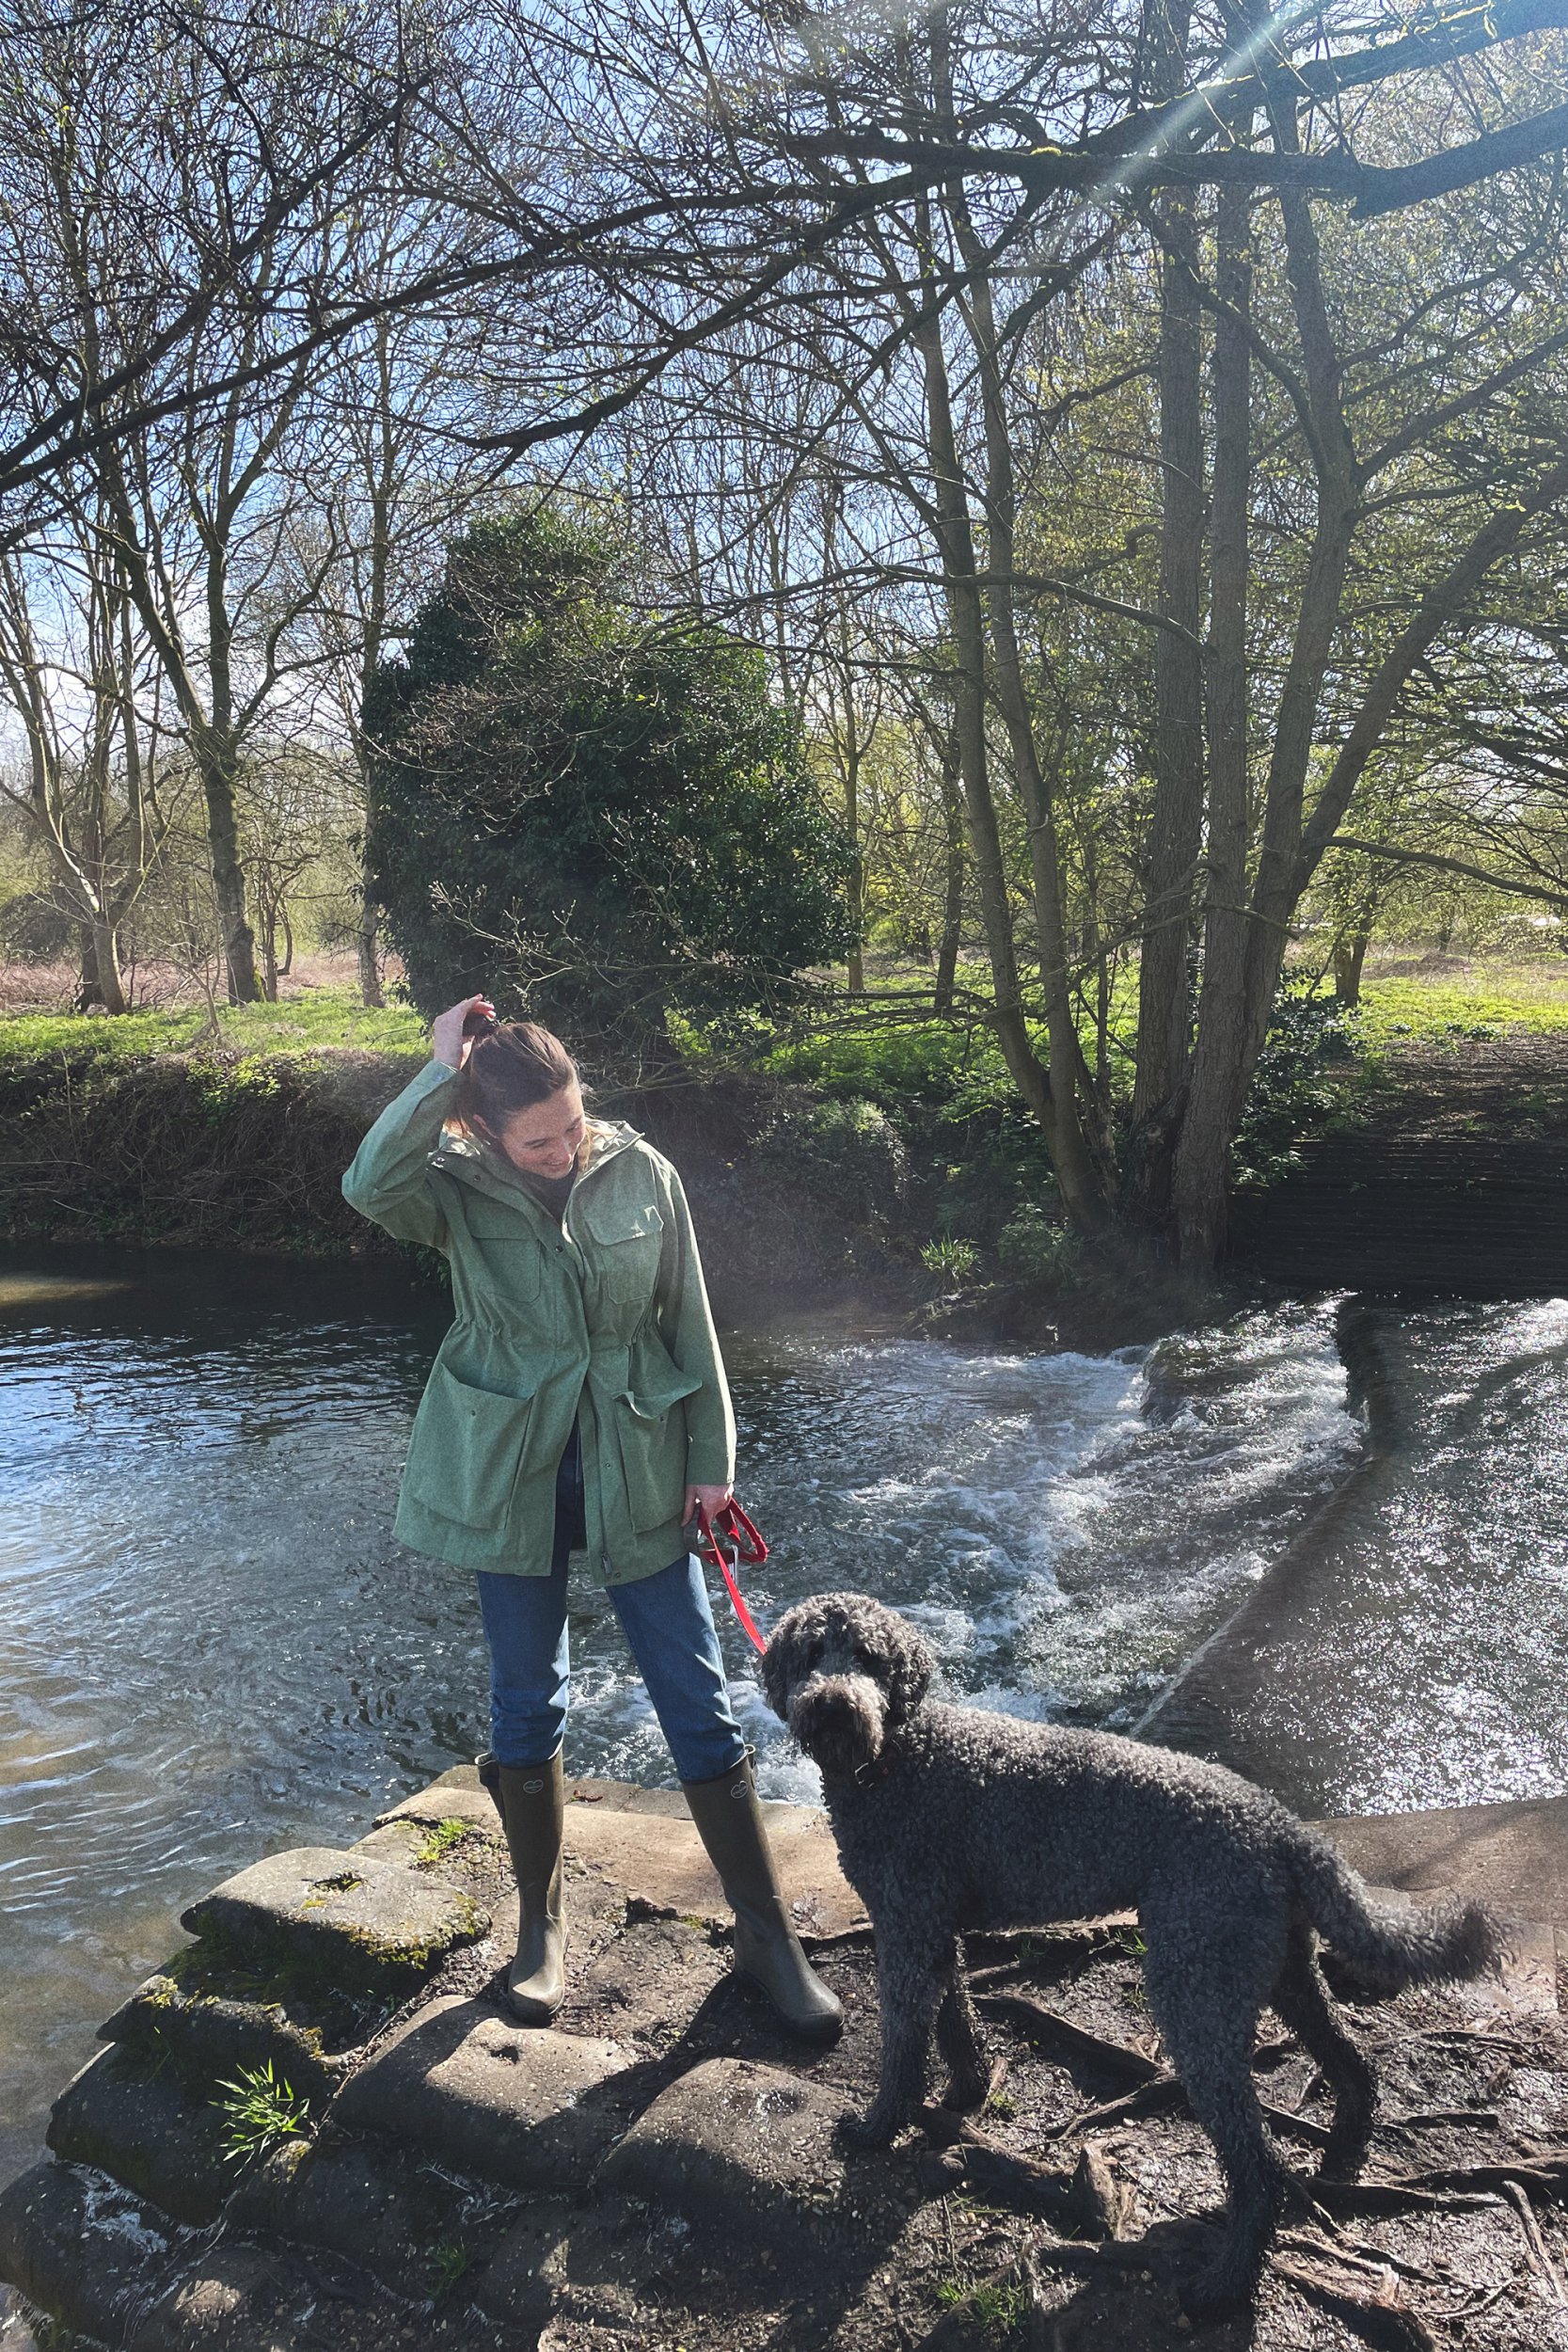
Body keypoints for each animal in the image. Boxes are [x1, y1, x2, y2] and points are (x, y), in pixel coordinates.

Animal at [766, 1590, 1504, 2305]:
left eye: (869, 1657)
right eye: (811, 1654)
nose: (833, 1703)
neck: (895, 1757)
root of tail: (1284, 1827)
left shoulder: (906, 1925)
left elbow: (902, 2044)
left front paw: (877, 2128)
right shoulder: (928, 1927)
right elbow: (954, 2019)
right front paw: (966, 2093)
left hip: (1195, 1985)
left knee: (1258, 2164)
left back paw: (1226, 2283)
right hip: (1277, 1965)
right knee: (1352, 2065)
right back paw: (1339, 2158)